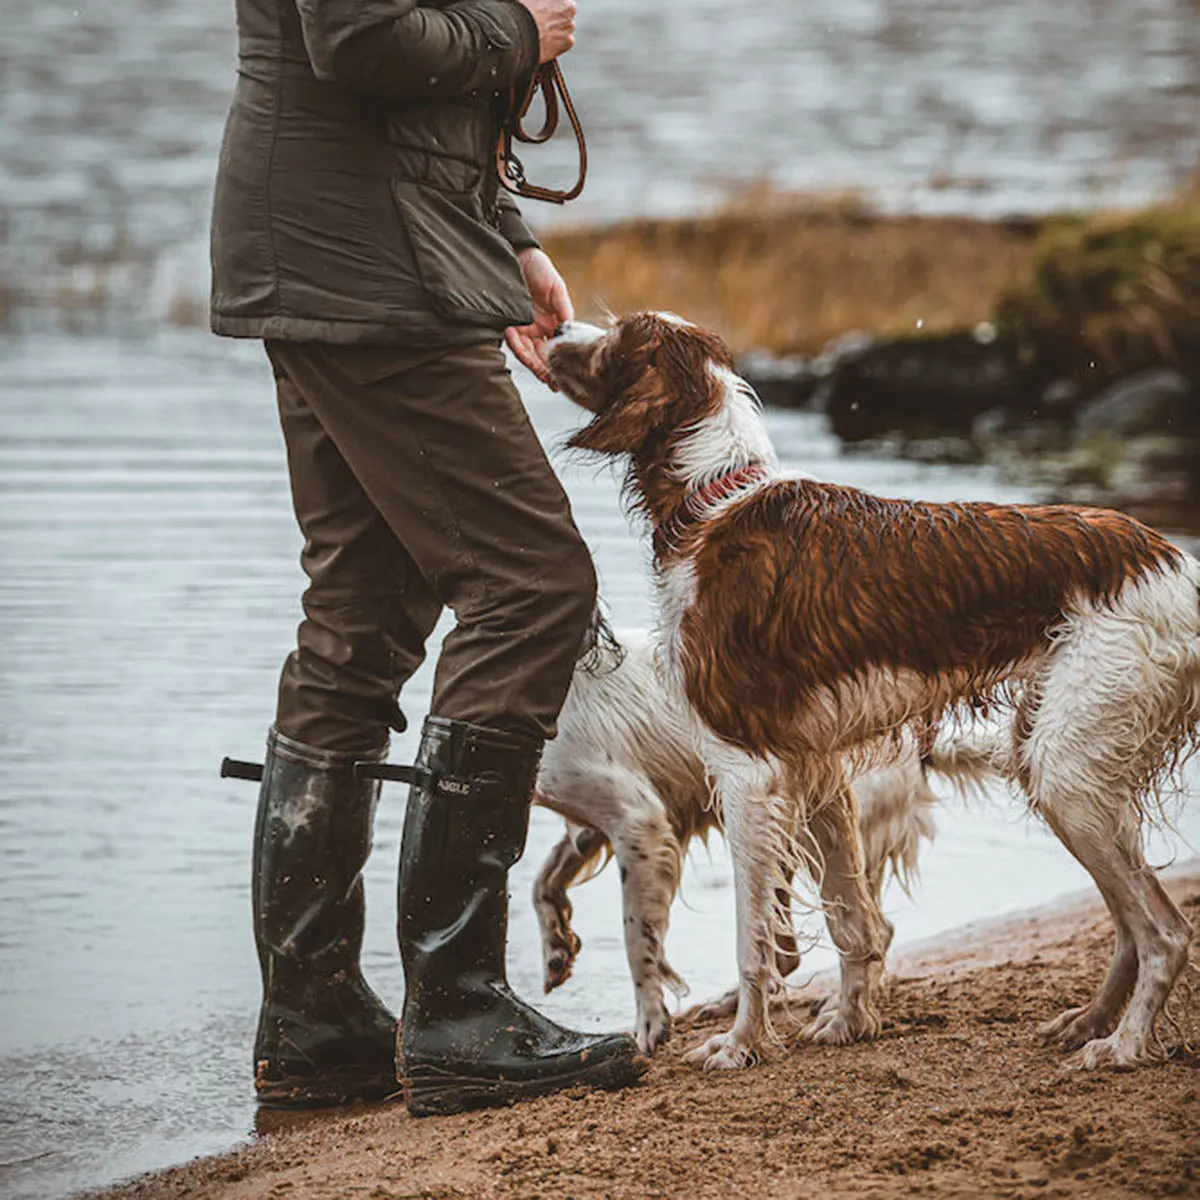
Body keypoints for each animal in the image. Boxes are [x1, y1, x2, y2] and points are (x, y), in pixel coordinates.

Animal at [547, 309, 1200, 1070]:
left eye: (616, 335)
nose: (551, 328)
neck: (715, 502)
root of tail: (1177, 564)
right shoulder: (818, 770)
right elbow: (854, 923)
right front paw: (849, 1023)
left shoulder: (747, 773)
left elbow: (753, 943)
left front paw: (741, 1044)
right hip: (1051, 765)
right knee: (1127, 924)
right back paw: (1089, 1022)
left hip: (1069, 772)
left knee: (1163, 931)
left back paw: (1122, 1046)